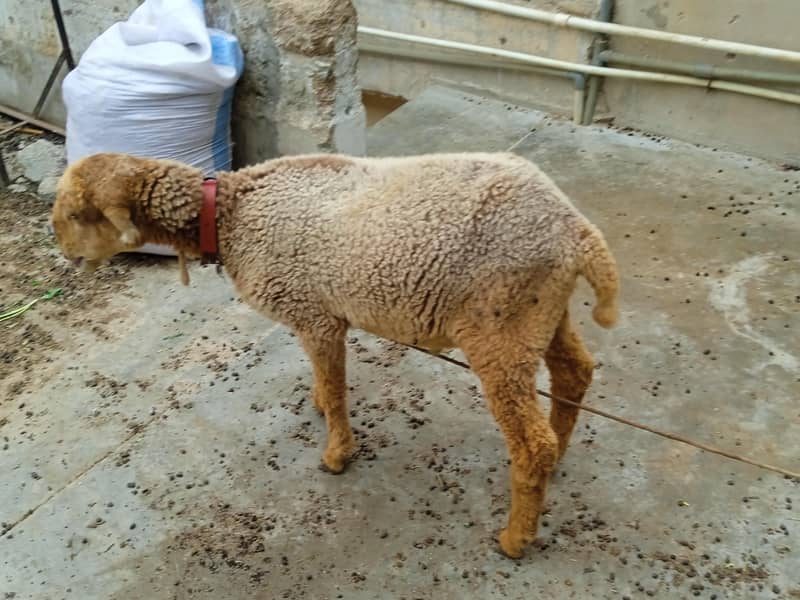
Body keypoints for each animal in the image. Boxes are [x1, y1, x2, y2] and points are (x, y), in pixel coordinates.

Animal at [51, 151, 619, 558]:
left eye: (79, 213)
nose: (66, 254)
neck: (232, 212)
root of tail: (578, 231)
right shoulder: (317, 314)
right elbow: (325, 378)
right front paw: (321, 404)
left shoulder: (314, 314)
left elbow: (335, 381)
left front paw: (337, 453)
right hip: (540, 313)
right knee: (575, 372)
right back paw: (557, 461)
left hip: (500, 325)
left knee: (532, 442)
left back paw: (516, 537)